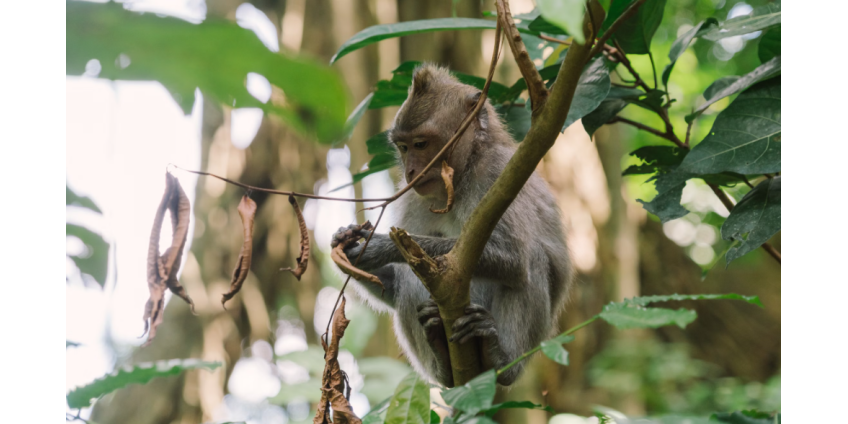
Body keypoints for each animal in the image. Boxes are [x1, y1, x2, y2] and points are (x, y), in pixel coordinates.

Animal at [334, 64, 572, 387]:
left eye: (421, 144)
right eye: (404, 147)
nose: (411, 170)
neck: (462, 175)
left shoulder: (498, 173)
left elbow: (513, 259)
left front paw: (378, 247)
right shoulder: (413, 197)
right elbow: (392, 288)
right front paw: (347, 243)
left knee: (531, 260)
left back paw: (500, 358)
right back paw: (440, 359)